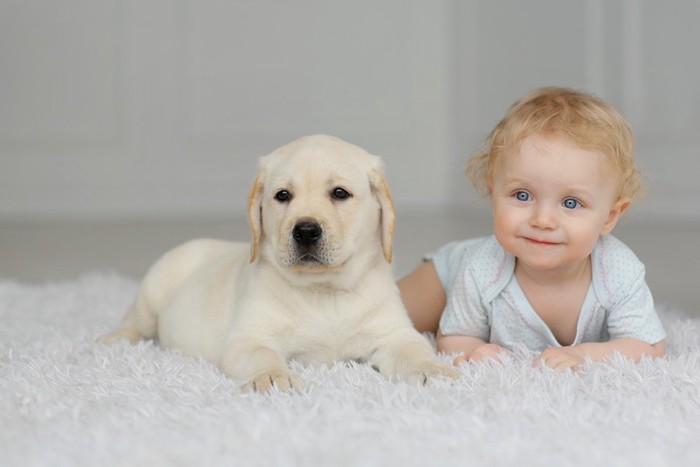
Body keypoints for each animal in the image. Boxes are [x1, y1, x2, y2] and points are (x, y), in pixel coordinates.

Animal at [100, 135, 460, 392]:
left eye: (340, 193)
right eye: (282, 195)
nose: (305, 231)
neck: (324, 291)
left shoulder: (394, 333)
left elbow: (415, 350)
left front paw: (432, 369)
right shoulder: (247, 339)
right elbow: (263, 355)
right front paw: (272, 378)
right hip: (153, 290)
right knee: (135, 321)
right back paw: (114, 341)